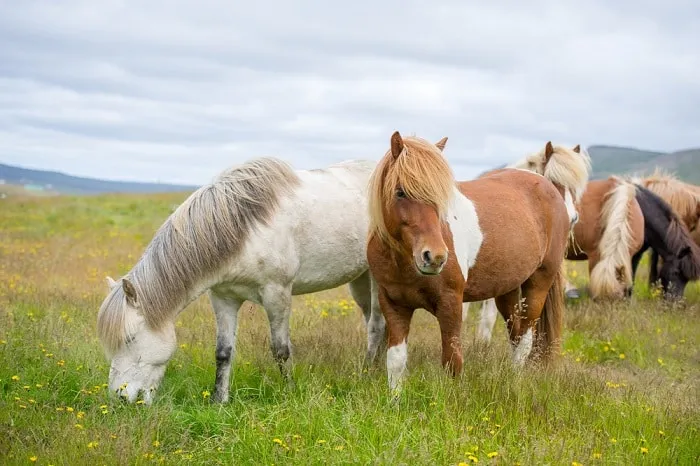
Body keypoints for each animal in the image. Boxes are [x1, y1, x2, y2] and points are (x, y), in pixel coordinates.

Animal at [95, 157, 386, 404]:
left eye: (130, 338)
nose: (119, 397)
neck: (244, 228)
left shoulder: (277, 294)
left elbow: (280, 350)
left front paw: (289, 392)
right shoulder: (223, 298)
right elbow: (223, 352)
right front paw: (219, 400)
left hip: (375, 276)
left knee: (376, 325)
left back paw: (367, 373)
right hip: (359, 280)